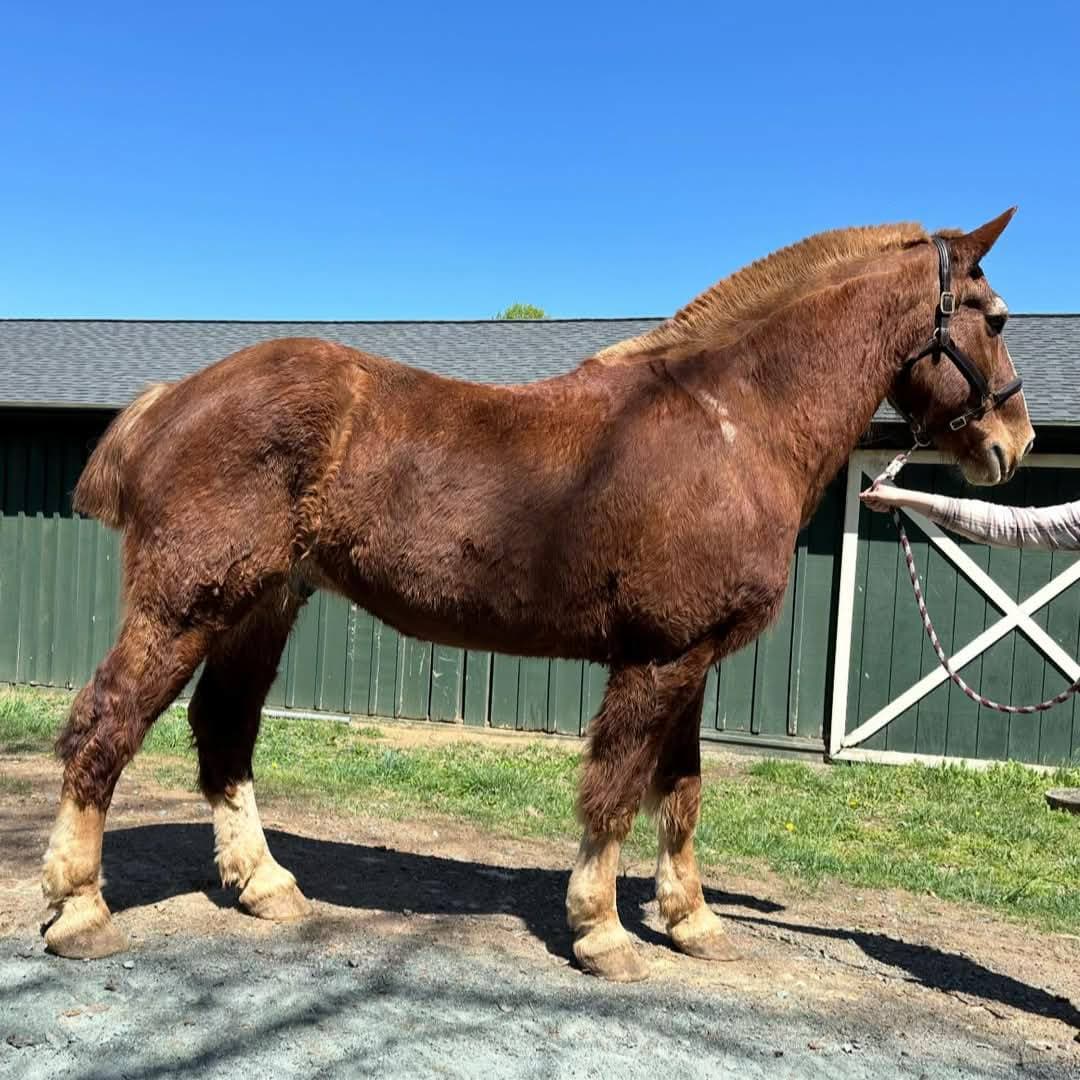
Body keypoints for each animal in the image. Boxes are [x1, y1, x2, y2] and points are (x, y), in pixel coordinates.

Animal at [42, 210, 1034, 981]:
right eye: (993, 316)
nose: (1013, 444)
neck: (731, 424)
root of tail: (177, 396)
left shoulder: (692, 660)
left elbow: (682, 793)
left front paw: (692, 923)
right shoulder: (658, 658)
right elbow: (615, 793)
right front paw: (602, 933)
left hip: (264, 604)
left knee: (224, 733)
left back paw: (265, 886)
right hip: (187, 604)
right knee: (107, 725)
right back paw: (80, 909)